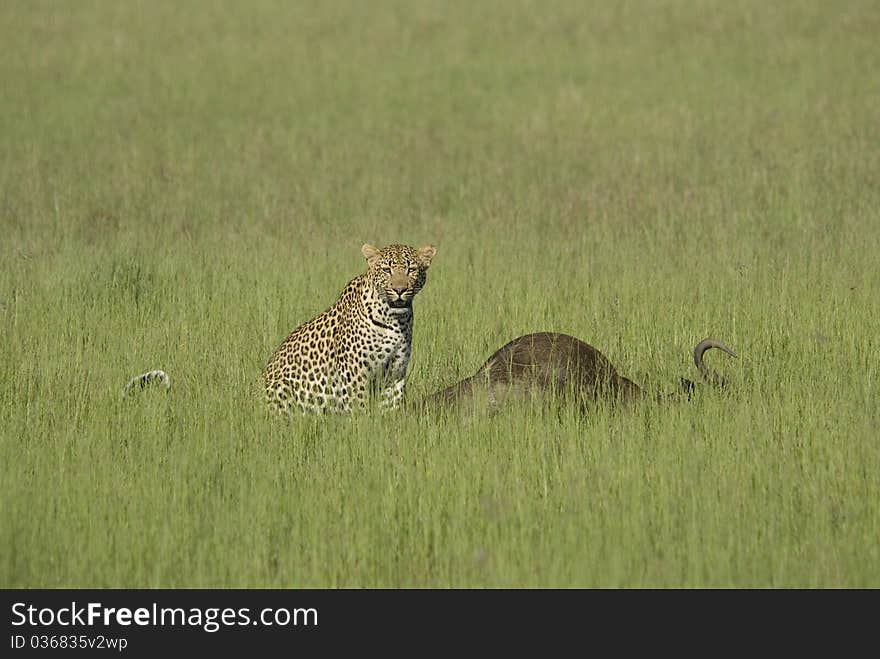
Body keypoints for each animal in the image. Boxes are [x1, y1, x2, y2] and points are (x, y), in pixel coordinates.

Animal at [262, 245, 438, 416]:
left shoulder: (394, 373)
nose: (399, 290)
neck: (394, 319)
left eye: (411, 269)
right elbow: (359, 408)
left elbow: (390, 407)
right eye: (387, 270)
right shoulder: (354, 373)